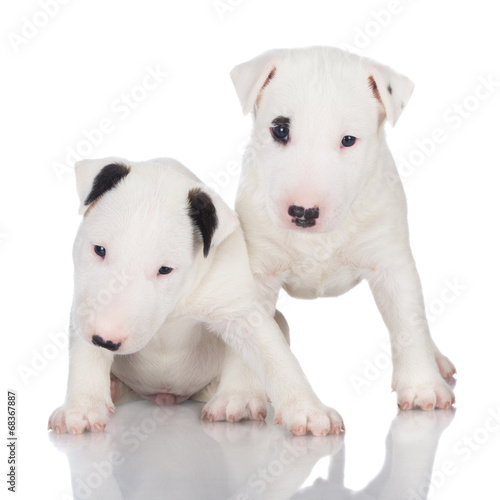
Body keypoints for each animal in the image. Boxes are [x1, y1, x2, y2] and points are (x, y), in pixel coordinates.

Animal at [230, 47, 458, 414]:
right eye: (280, 130)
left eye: (348, 140)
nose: (303, 212)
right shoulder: (255, 267)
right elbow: (246, 335)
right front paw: (236, 396)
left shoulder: (392, 260)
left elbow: (408, 321)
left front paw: (423, 387)